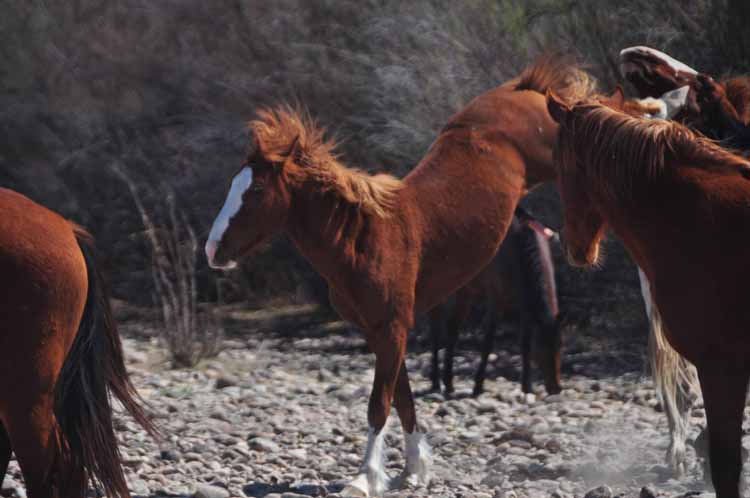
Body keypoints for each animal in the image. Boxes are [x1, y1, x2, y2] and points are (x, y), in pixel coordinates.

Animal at [428, 204, 568, 398]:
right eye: (541, 345)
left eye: (560, 344)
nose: (555, 388)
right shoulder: (496, 299)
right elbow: (488, 342)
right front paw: (478, 386)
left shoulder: (526, 305)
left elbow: (524, 343)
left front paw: (527, 386)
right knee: (435, 329)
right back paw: (435, 381)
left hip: (466, 292)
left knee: (453, 329)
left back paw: (448, 383)